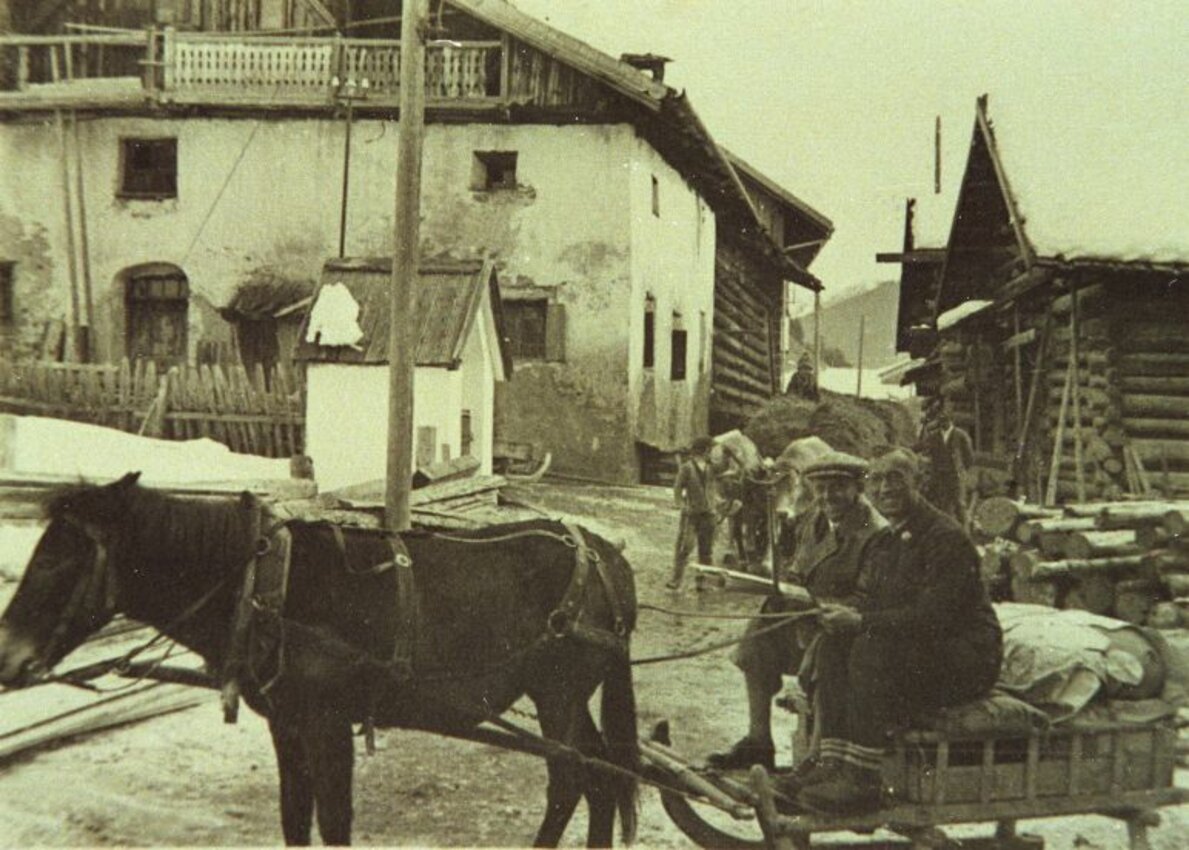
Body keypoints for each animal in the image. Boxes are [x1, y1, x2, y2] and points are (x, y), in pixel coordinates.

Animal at [0, 473, 640, 847]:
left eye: (59, 559)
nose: (7, 656)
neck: (265, 585)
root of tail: (604, 554)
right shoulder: (288, 726)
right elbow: (294, 818)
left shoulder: (328, 725)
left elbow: (333, 824)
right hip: (565, 696)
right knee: (603, 778)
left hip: (558, 692)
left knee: (572, 779)